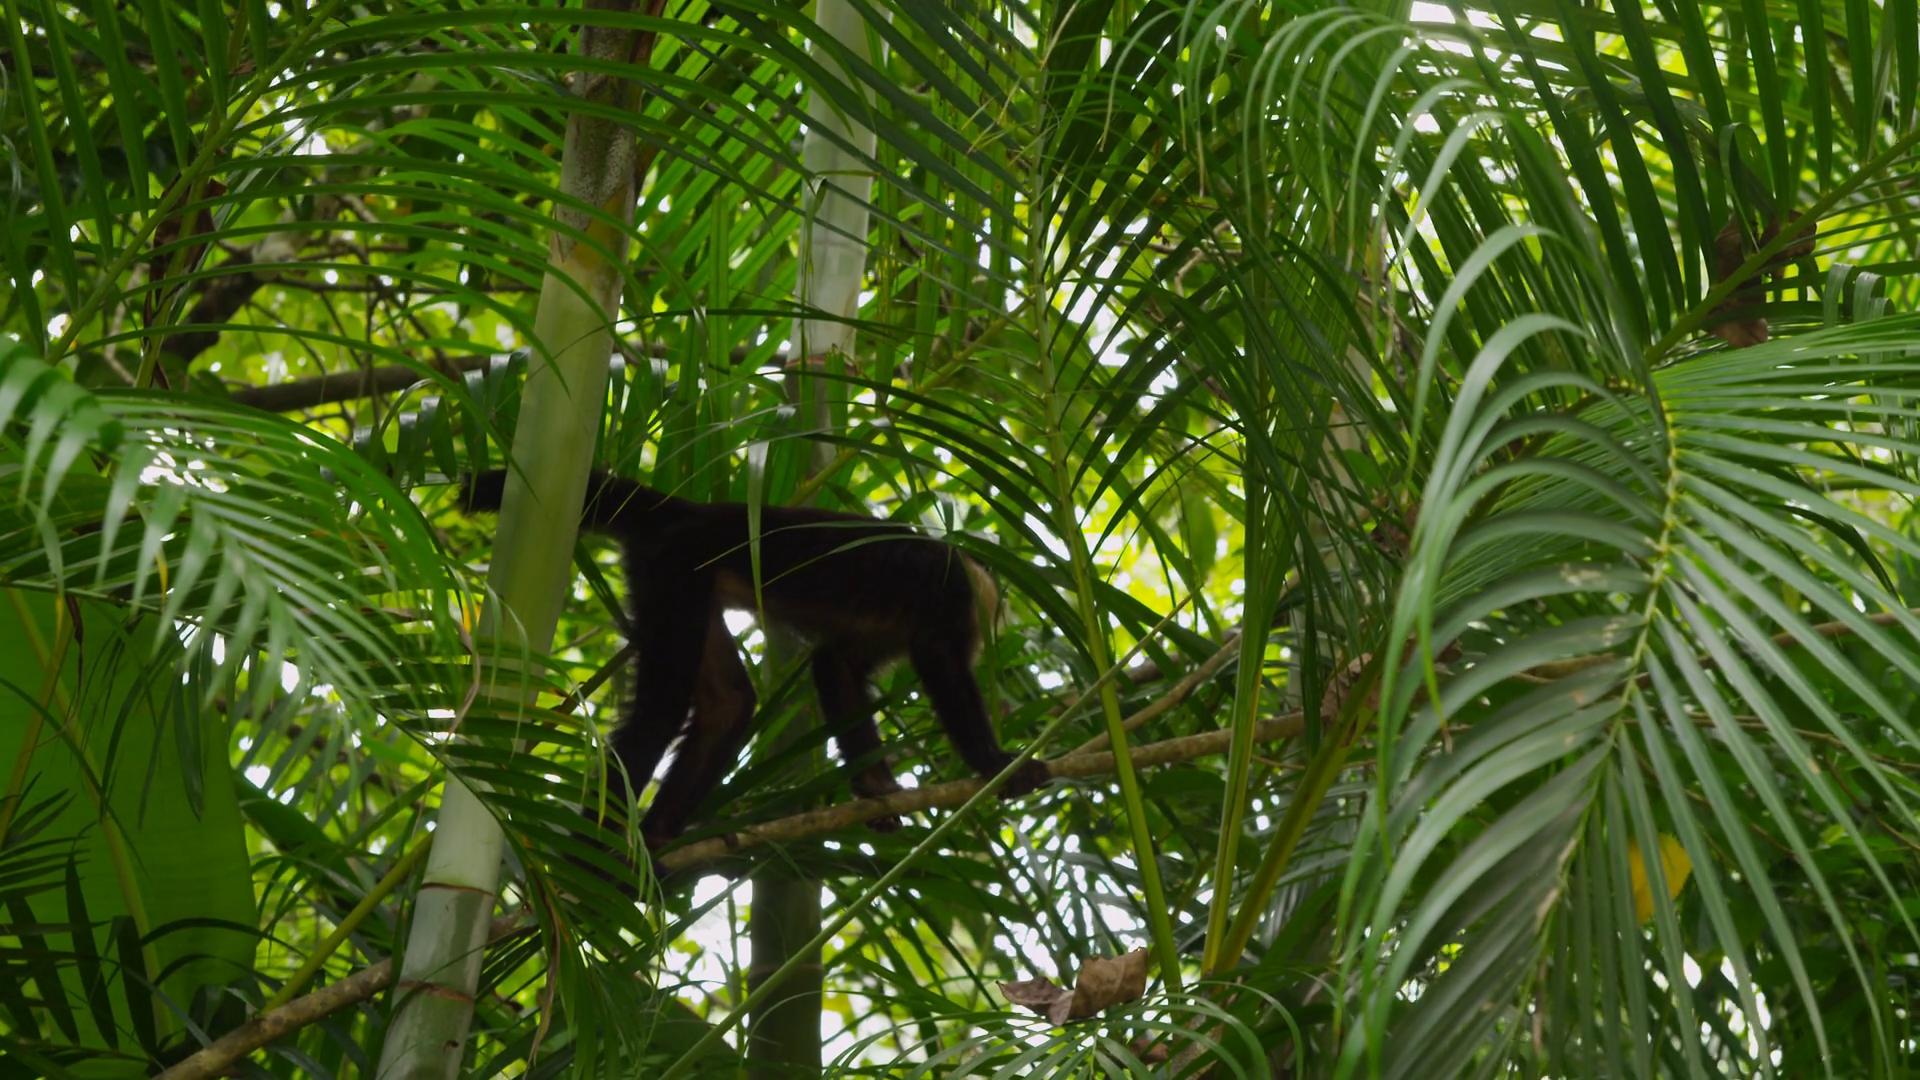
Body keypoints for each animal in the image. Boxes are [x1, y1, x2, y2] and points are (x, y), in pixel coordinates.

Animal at [461, 469, 1052, 851]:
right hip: (677, 564)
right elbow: (937, 660)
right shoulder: (949, 597)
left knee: (729, 704)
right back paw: (596, 858)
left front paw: (876, 788)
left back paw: (659, 837)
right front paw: (995, 762)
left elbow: (836, 664)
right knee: (660, 711)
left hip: (684, 579)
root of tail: (688, 509)